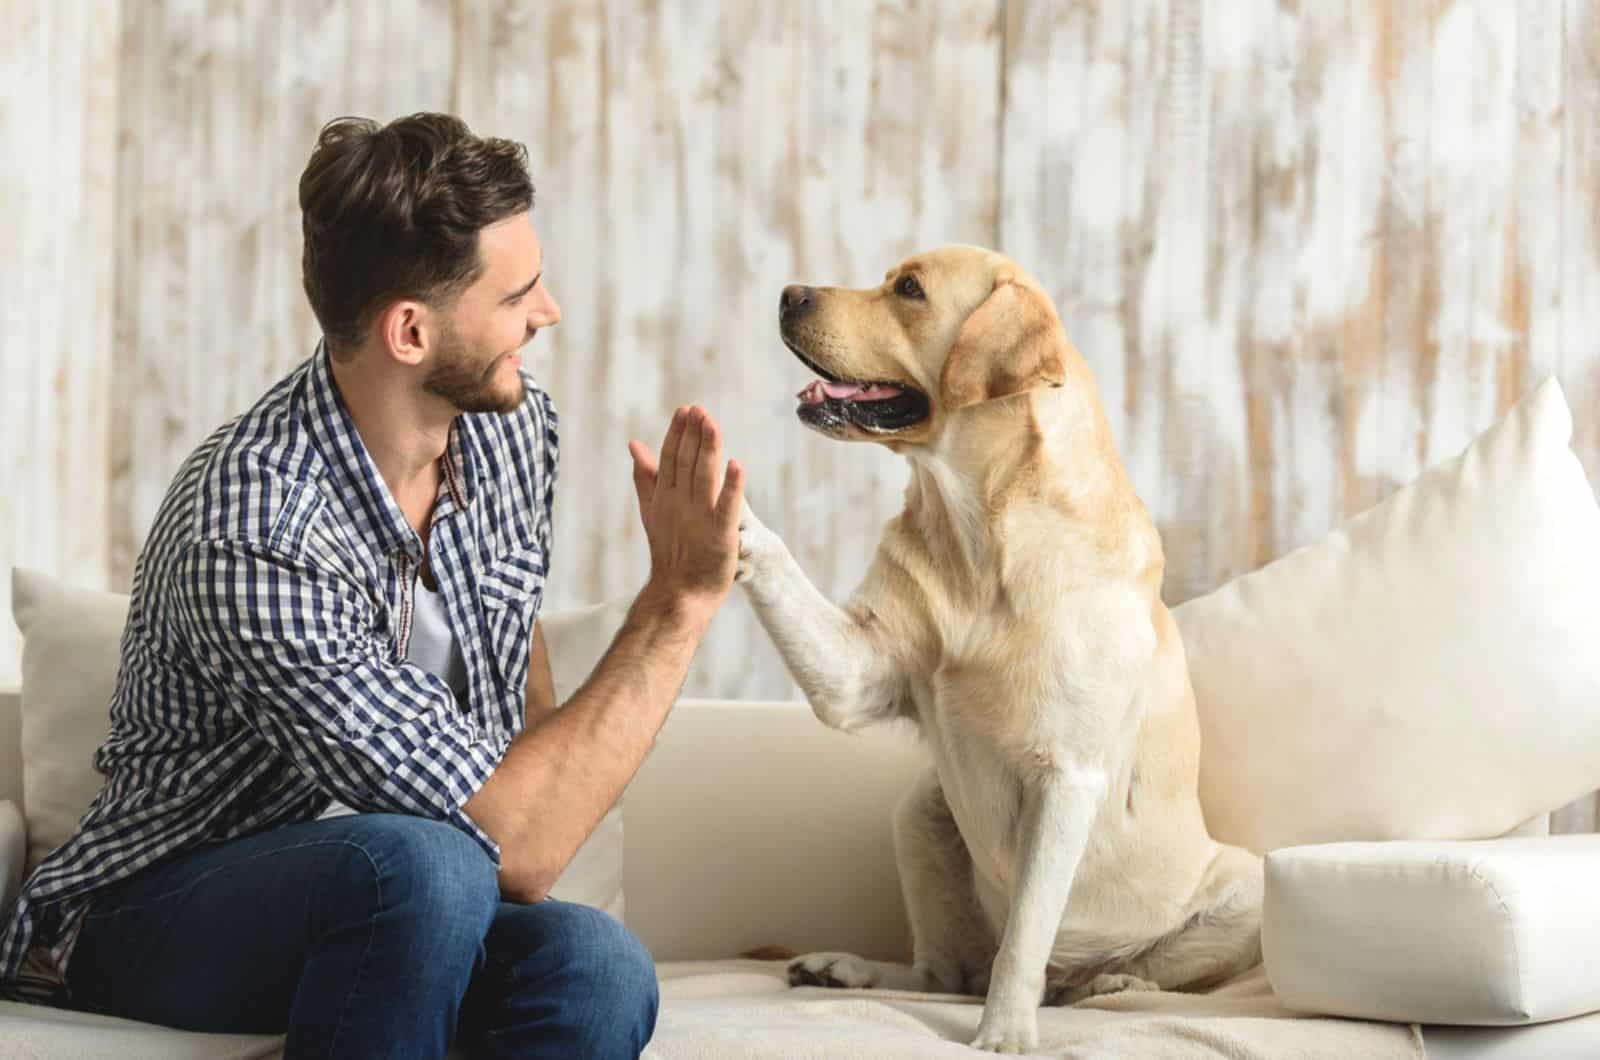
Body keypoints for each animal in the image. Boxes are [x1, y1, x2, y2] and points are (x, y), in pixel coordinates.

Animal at [732, 246, 1260, 1056]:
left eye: (909, 289)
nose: (790, 293)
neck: (978, 533)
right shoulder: (857, 670)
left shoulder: (1066, 778)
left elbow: (1025, 937)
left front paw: (1005, 1031)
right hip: (920, 812)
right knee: (942, 972)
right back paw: (846, 969)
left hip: (1246, 888)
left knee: (1120, 972)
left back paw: (1105, 981)